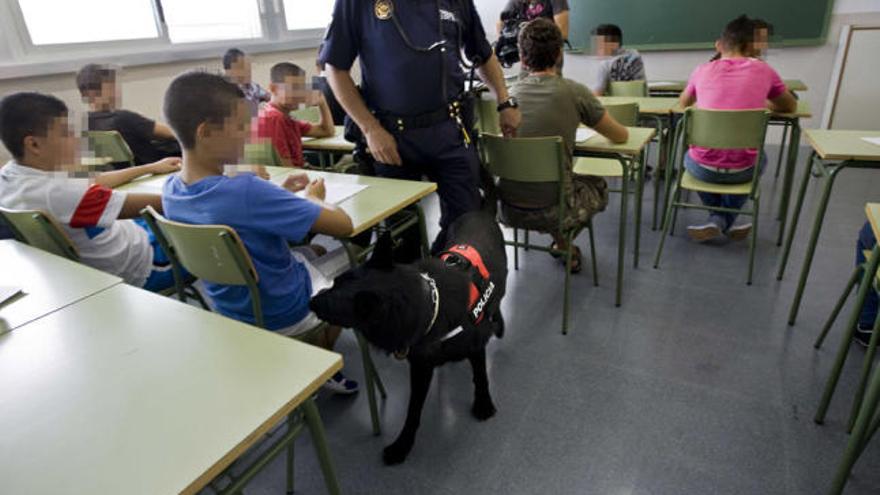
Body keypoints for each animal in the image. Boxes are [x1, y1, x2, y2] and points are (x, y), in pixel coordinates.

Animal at [312, 210, 508, 464]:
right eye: (335, 282)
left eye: (332, 304)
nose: (311, 300)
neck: (431, 305)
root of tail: (477, 212)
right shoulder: (420, 367)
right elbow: (413, 410)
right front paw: (402, 445)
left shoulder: (474, 345)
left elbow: (481, 376)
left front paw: (483, 404)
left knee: (498, 300)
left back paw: (498, 323)